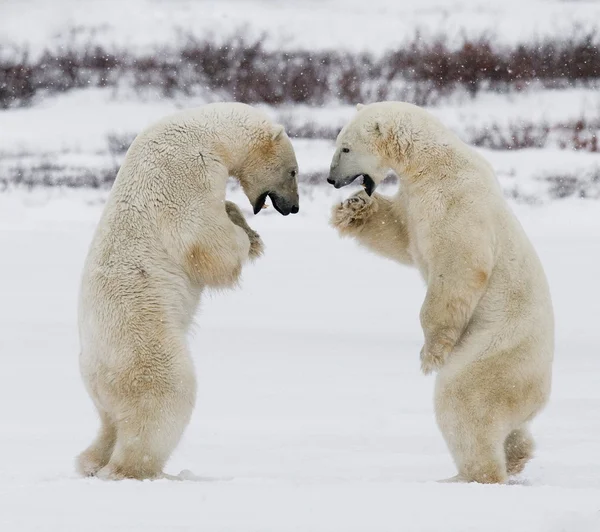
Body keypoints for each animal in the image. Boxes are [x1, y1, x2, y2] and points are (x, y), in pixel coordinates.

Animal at [76, 102, 298, 480]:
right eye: (294, 171)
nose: (293, 207)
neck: (207, 133)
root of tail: (97, 368)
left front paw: (238, 216)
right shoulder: (185, 171)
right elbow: (203, 237)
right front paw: (247, 238)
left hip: (101, 379)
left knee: (108, 422)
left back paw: (91, 462)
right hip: (144, 340)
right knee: (165, 398)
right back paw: (141, 470)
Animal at [328, 102, 552, 484]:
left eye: (345, 147)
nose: (331, 180)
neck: (432, 162)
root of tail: (543, 389)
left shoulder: (455, 202)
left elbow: (458, 265)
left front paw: (429, 354)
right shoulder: (414, 199)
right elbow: (399, 234)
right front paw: (353, 208)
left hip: (498, 349)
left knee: (464, 399)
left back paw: (467, 476)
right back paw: (516, 455)